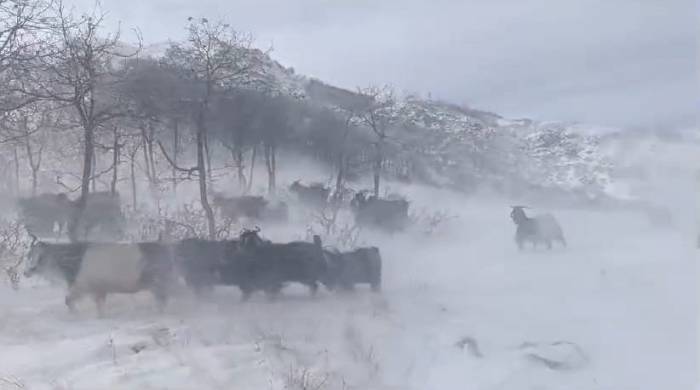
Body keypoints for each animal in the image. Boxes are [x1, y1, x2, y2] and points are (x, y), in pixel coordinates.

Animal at [22, 236, 175, 316]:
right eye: (29, 255)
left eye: (40, 257)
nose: (26, 272)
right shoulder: (99, 289)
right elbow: (99, 305)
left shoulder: (82, 286)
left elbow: (68, 300)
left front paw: (76, 315)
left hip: (158, 282)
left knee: (163, 299)